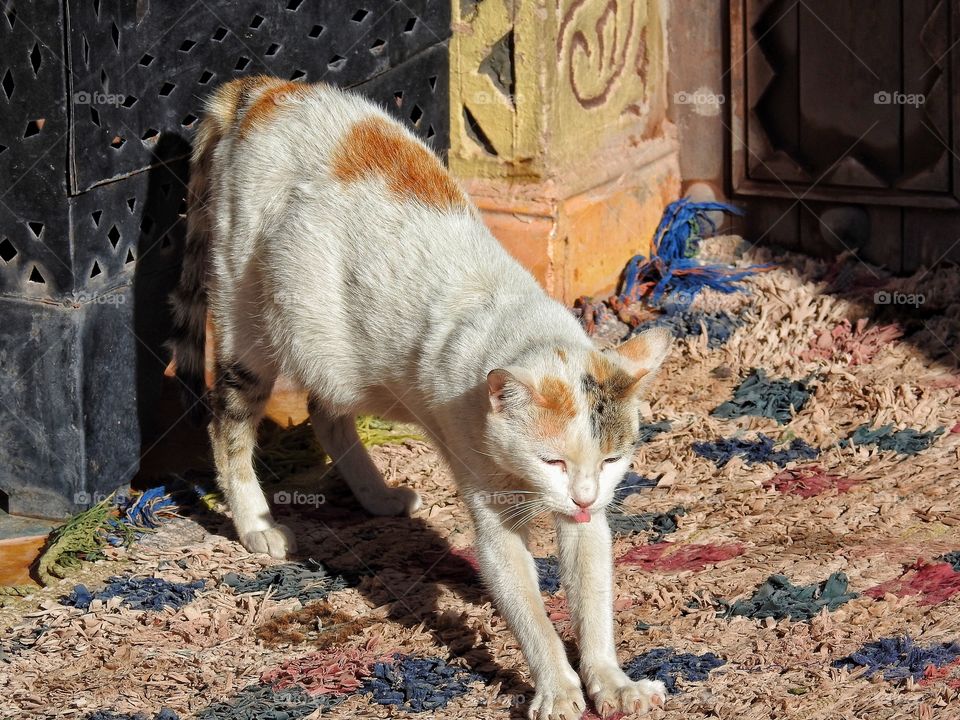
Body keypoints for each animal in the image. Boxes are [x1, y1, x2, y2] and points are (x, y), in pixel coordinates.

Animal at [171, 76, 668, 716]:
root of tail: (262, 89)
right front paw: (557, 688)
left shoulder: (587, 520)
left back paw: (377, 496)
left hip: (345, 363)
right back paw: (257, 523)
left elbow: (592, 596)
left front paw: (611, 681)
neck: (520, 325)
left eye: (611, 460)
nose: (582, 496)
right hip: (248, 318)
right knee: (228, 421)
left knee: (325, 414)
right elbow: (527, 609)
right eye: (551, 460)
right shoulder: (491, 511)